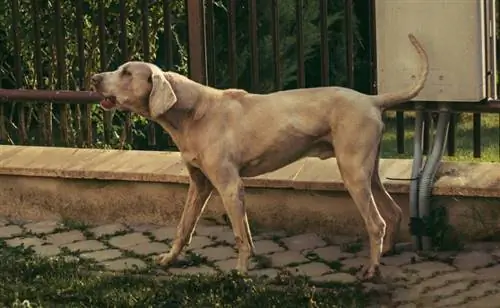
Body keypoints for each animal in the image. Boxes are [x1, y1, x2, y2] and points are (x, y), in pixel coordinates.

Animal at [91, 33, 430, 280]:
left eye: (126, 72)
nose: (93, 78)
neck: (193, 112)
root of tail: (372, 99)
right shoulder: (199, 185)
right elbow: (183, 227)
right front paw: (169, 259)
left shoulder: (230, 186)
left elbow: (241, 235)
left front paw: (241, 273)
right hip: (366, 171)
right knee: (393, 213)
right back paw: (384, 254)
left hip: (352, 173)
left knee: (376, 222)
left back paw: (371, 269)